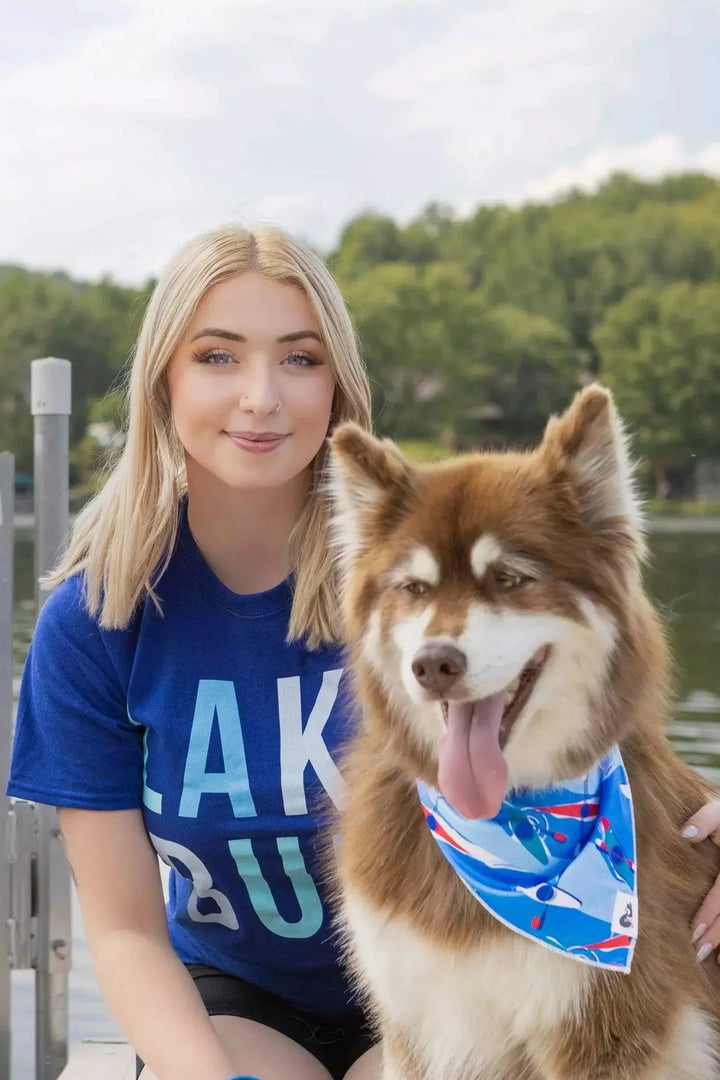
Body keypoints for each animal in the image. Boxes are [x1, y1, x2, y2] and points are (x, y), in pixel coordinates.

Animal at [330, 388, 720, 1080]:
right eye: (414, 588)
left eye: (509, 579)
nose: (433, 664)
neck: (502, 824)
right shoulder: (416, 1026)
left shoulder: (607, 1035)